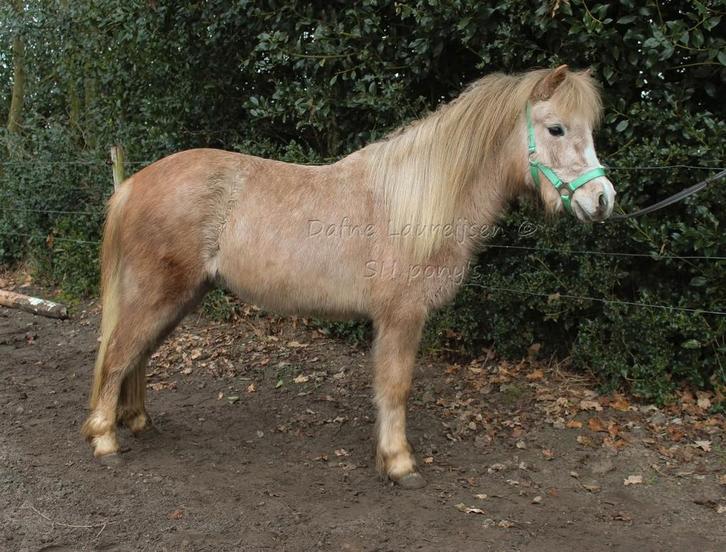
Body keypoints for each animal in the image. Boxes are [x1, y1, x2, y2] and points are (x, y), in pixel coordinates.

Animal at [82, 65, 615, 488]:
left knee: (137, 356)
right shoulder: (402, 316)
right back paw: (105, 439)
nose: (603, 200)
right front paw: (399, 464)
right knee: (119, 354)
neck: (416, 202)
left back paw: (137, 421)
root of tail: (133, 185)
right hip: (158, 295)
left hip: (179, 299)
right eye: (555, 128)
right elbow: (396, 387)